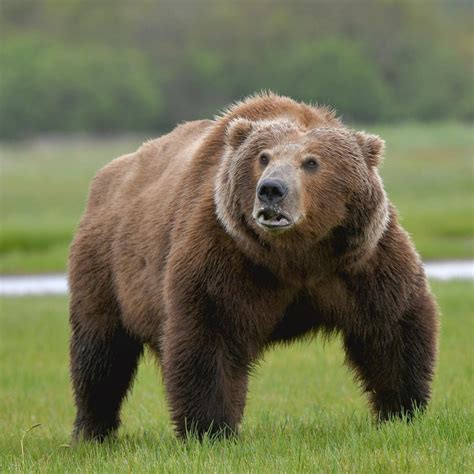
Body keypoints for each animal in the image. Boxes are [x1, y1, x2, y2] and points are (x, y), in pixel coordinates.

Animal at [68, 91, 438, 440]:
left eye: (311, 162)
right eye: (264, 157)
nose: (271, 189)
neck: (296, 256)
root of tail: (106, 177)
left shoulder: (359, 259)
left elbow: (392, 326)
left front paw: (401, 409)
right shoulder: (227, 255)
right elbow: (209, 334)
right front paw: (211, 427)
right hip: (106, 266)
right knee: (100, 353)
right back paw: (92, 430)